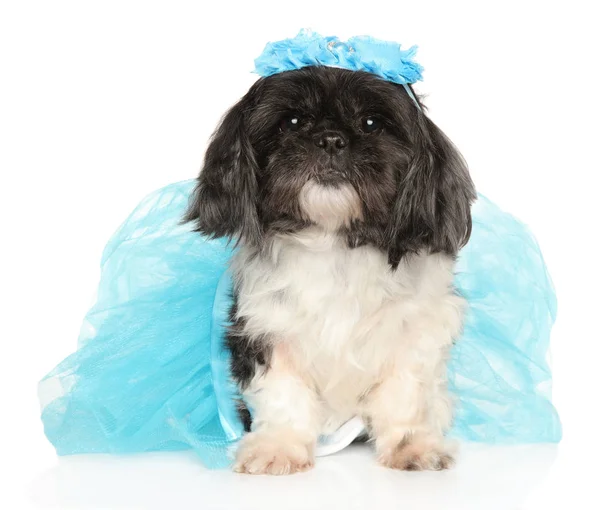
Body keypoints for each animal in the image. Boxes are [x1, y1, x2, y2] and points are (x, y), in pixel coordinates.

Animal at [185, 65, 476, 476]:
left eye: (371, 123)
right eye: (292, 121)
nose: (331, 140)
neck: (333, 241)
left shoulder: (418, 328)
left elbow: (406, 392)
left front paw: (412, 445)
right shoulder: (265, 329)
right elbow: (282, 392)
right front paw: (278, 446)